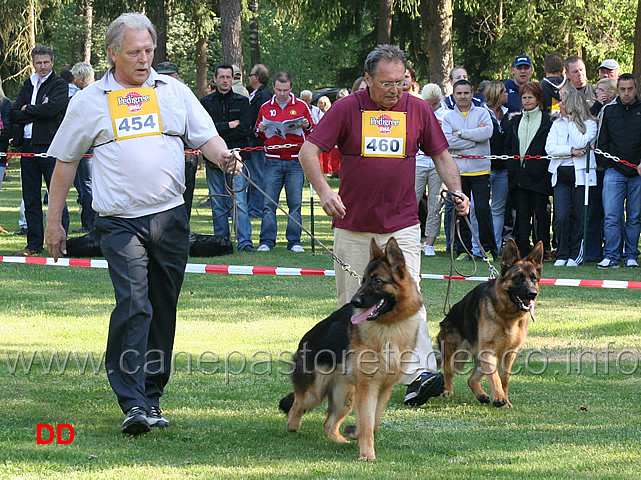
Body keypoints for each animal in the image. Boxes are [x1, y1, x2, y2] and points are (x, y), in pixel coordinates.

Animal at [278, 236, 420, 462]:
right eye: (363, 280)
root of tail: (306, 338)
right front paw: (367, 454)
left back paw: (339, 439)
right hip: (315, 394)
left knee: (328, 423)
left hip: (346, 398)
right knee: (296, 404)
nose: (355, 301)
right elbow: (368, 422)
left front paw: (356, 433)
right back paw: (293, 425)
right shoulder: (368, 387)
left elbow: (373, 423)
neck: (389, 325)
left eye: (377, 281)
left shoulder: (383, 388)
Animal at [438, 238, 544, 406]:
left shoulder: (509, 353)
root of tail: (448, 314)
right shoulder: (489, 351)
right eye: (518, 277)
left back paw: (482, 395)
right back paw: (447, 390)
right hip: (457, 353)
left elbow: (504, 379)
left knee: (471, 380)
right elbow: (495, 377)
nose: (532, 294)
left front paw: (505, 400)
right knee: (448, 371)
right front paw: (500, 398)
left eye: (534, 279)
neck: (507, 315)